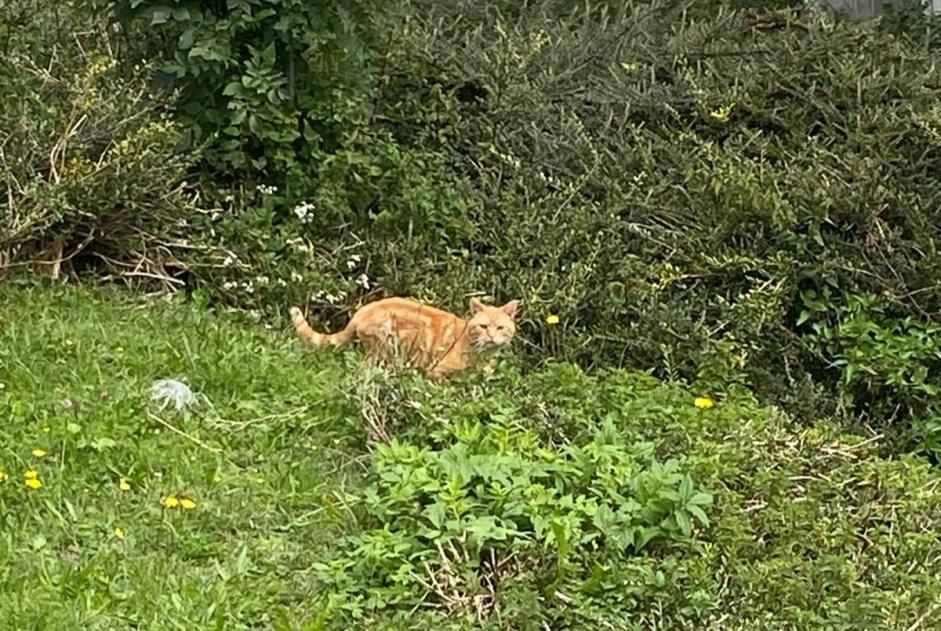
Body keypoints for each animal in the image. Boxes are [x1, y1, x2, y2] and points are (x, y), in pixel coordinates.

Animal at [290, 298, 516, 380]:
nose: (491, 336)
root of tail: (362, 311)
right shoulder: (436, 372)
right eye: (483, 326)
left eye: (500, 328)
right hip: (390, 349)